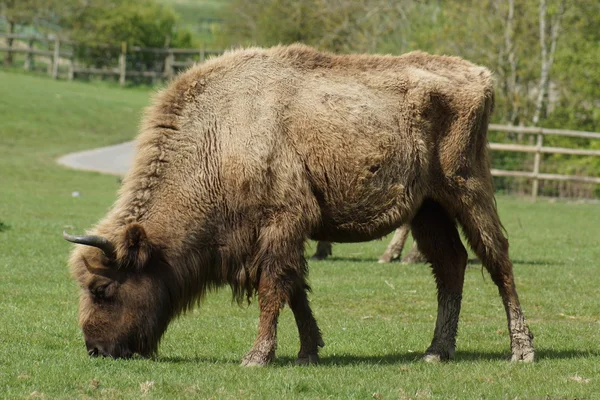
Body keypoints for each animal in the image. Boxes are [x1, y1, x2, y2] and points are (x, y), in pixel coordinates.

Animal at [64, 43, 536, 366]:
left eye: (103, 289)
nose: (96, 349)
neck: (220, 135)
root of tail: (480, 75)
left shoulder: (281, 223)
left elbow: (274, 287)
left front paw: (257, 357)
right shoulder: (283, 235)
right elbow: (296, 289)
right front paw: (309, 351)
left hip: (467, 190)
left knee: (497, 259)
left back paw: (520, 350)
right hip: (428, 209)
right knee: (451, 265)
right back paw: (436, 351)